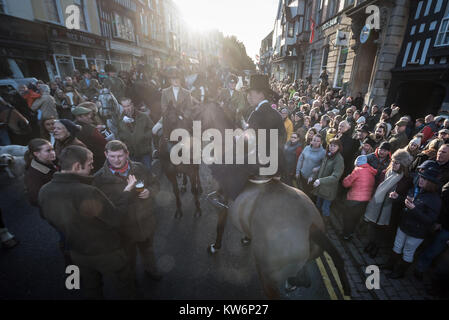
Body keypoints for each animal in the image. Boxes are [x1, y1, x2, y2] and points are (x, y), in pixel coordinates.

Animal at [196, 102, 350, 300]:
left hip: (267, 275)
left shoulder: (223, 199)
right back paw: (294, 282)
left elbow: (220, 225)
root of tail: (312, 226)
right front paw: (246, 237)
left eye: (197, 112)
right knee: (304, 278)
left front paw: (215, 246)